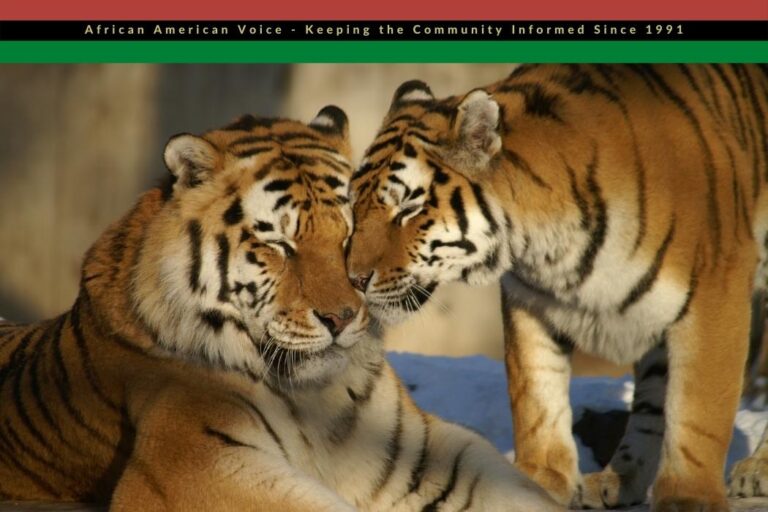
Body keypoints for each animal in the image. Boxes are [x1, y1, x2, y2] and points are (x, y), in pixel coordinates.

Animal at [0, 107, 560, 511]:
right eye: (279, 244)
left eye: (351, 232)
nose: (340, 318)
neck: (318, 397)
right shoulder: (192, 466)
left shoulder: (418, 457)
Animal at [346, 64, 768, 511]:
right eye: (355, 204)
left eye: (408, 208)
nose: (353, 277)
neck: (544, 243)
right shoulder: (530, 299)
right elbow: (536, 393)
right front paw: (538, 480)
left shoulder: (715, 289)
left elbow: (697, 411)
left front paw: (689, 498)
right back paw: (618, 479)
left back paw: (756, 472)